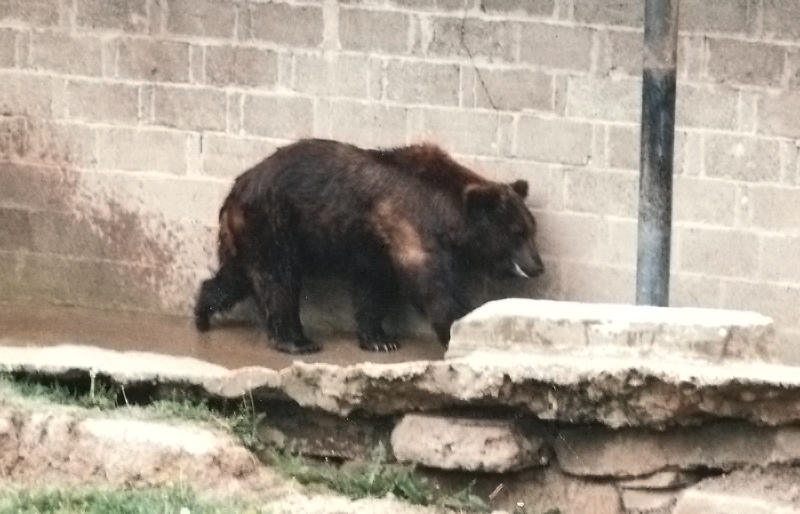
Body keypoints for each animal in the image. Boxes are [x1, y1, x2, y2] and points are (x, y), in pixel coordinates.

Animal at [194, 138, 544, 354]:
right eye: (517, 233)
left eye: (532, 230)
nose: (537, 266)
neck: (443, 211)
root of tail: (234, 192)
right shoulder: (406, 225)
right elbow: (431, 284)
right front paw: (456, 327)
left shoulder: (376, 248)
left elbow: (373, 288)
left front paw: (379, 339)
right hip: (274, 222)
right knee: (278, 279)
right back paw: (297, 341)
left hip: (250, 234)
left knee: (237, 277)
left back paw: (202, 313)